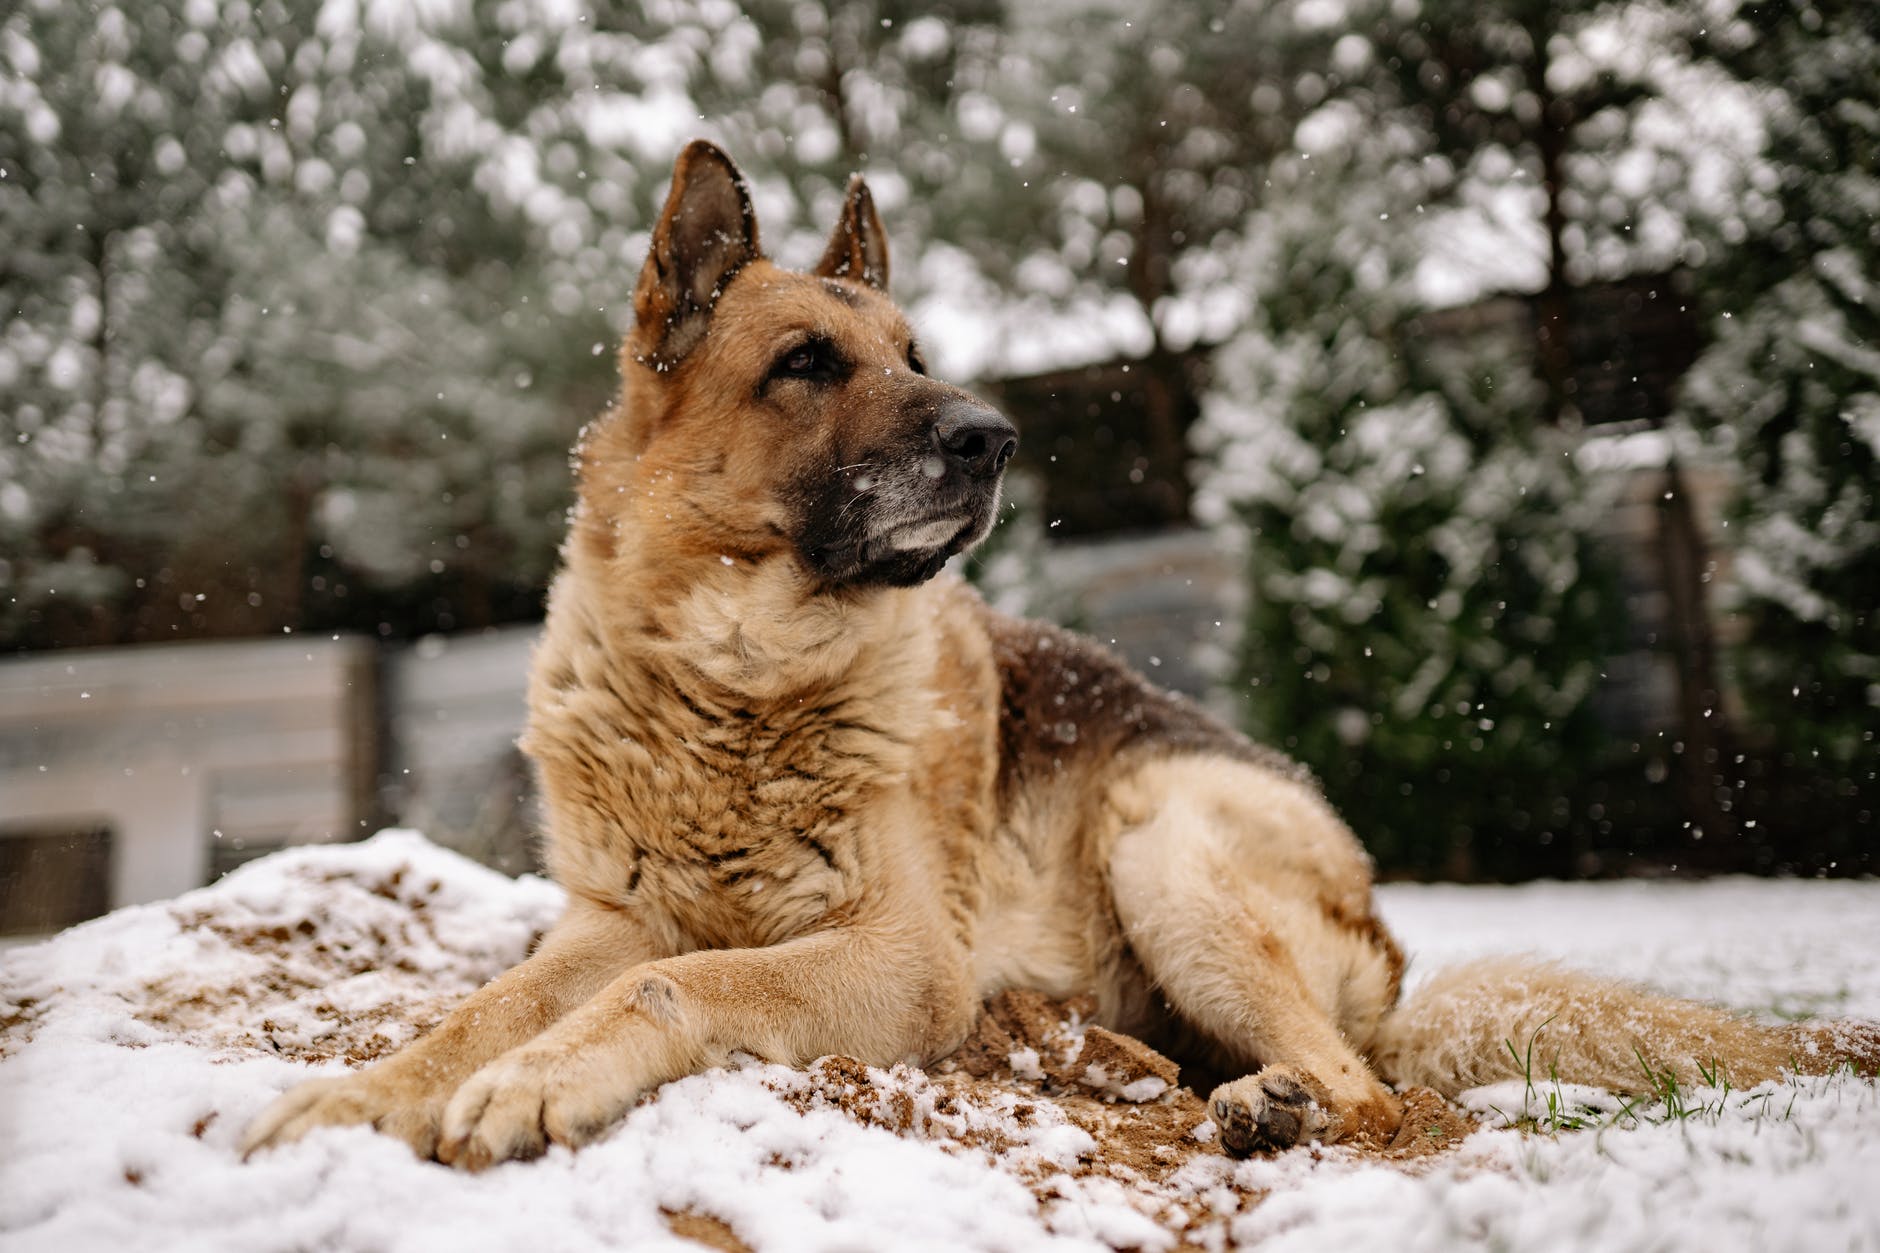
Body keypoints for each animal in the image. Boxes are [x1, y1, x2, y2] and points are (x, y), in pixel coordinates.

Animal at [246, 141, 1864, 1166]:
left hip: (1165, 841)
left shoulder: (898, 960)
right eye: (806, 366)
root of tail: (1390, 957)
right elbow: (485, 1004)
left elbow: (674, 989)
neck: (733, 675)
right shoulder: (604, 920)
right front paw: (363, 1095)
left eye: (913, 357)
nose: (993, 437)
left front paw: (536, 1082)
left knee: (1371, 1094)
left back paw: (1263, 1106)